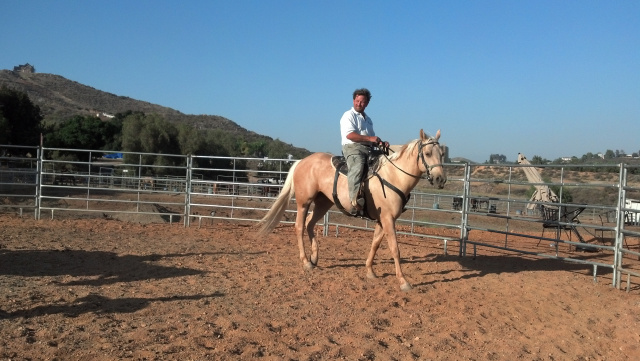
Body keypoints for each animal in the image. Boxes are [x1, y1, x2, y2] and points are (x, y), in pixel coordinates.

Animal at [258, 129, 448, 290]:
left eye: (442, 154)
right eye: (427, 153)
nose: (440, 179)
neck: (394, 176)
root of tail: (301, 162)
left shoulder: (382, 220)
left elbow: (375, 244)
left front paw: (370, 271)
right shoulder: (388, 219)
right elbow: (395, 249)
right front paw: (403, 282)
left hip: (323, 203)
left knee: (309, 224)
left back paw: (314, 258)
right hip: (304, 202)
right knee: (299, 227)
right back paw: (305, 262)